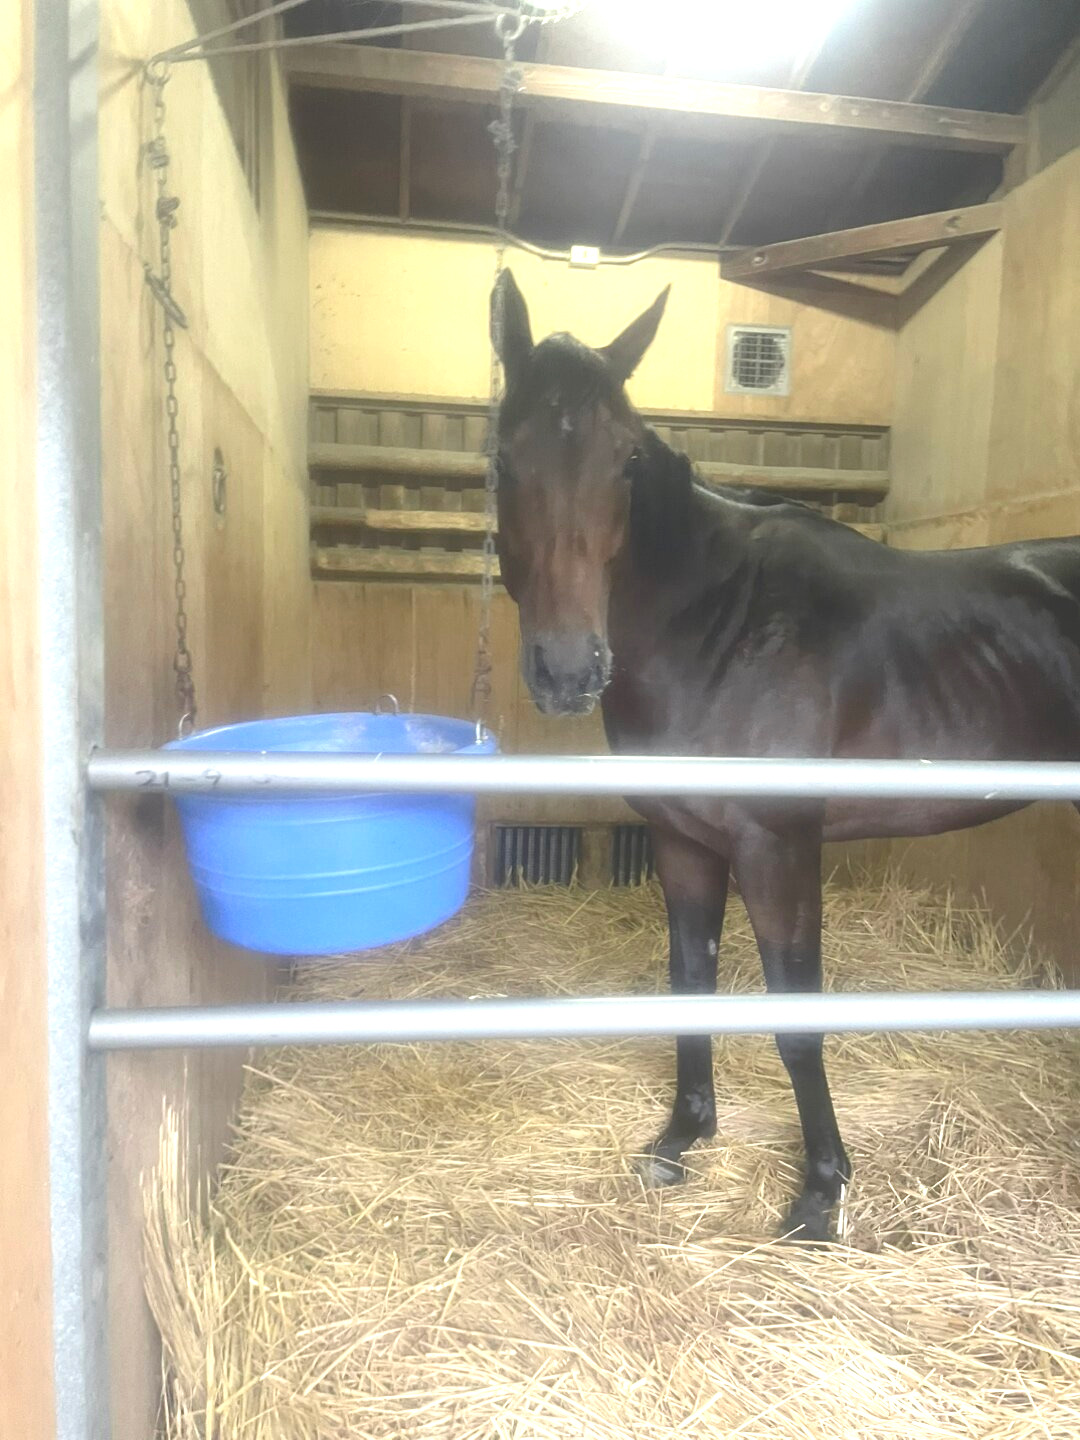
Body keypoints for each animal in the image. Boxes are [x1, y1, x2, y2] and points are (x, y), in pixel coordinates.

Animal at [490, 267, 1080, 1242]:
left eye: (626, 461)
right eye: (505, 459)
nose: (570, 669)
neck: (717, 622)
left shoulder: (779, 850)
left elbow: (797, 1020)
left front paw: (820, 1192)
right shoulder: (683, 844)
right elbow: (690, 981)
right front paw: (681, 1138)